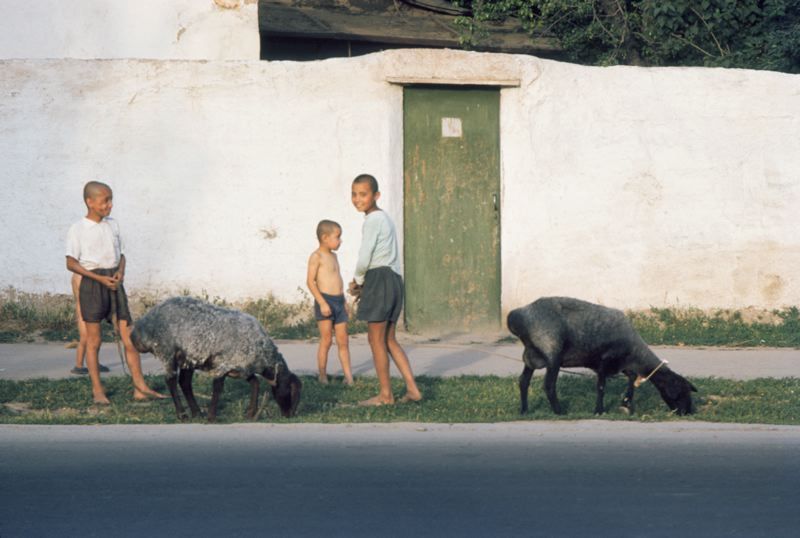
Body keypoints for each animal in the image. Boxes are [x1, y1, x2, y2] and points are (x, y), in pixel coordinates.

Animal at [131, 296, 300, 420]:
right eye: (289, 389)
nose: (290, 415)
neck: (263, 353)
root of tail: (140, 328)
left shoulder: (241, 369)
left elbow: (255, 383)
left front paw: (250, 413)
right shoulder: (223, 366)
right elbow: (218, 387)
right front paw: (212, 416)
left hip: (187, 359)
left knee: (184, 382)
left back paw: (197, 412)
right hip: (166, 352)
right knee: (171, 380)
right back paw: (183, 414)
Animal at [510, 298, 696, 414]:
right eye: (680, 391)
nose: (687, 413)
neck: (635, 353)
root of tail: (517, 316)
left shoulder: (620, 363)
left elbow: (631, 377)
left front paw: (626, 401)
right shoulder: (605, 361)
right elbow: (601, 387)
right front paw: (599, 410)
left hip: (531, 355)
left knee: (523, 381)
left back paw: (524, 411)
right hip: (552, 355)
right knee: (548, 385)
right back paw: (559, 411)